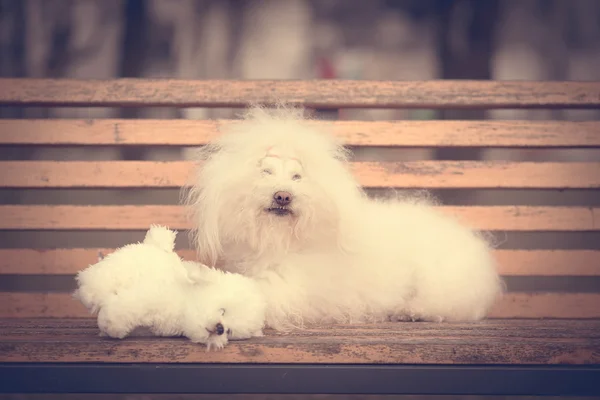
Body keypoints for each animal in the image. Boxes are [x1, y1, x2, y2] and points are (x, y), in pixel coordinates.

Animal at [73, 225, 264, 350]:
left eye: (229, 332)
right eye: (223, 310)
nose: (220, 328)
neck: (184, 307)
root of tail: (158, 246)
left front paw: (111, 327)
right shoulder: (148, 297)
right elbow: (127, 308)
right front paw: (110, 323)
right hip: (123, 265)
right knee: (100, 277)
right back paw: (89, 291)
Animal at [185, 106, 504, 332]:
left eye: (297, 177)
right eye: (266, 172)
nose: (283, 196)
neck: (280, 241)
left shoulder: (287, 289)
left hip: (441, 281)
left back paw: (412, 312)